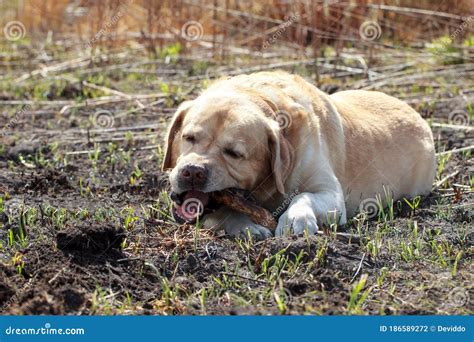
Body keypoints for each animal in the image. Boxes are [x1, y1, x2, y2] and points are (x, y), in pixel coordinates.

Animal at [161, 71, 436, 239]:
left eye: (234, 153)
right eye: (189, 137)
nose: (193, 172)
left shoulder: (331, 195)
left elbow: (304, 195)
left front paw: (295, 219)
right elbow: (228, 213)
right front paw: (247, 227)